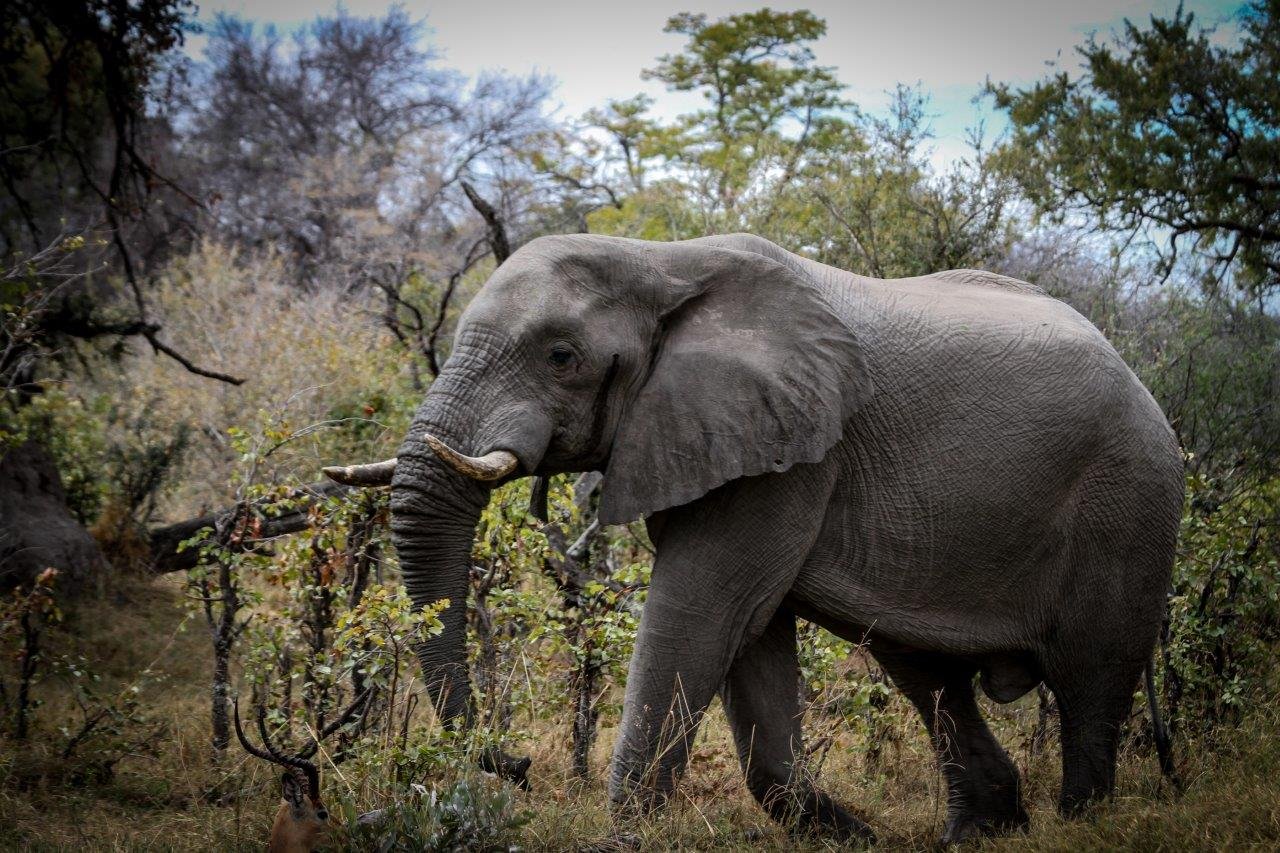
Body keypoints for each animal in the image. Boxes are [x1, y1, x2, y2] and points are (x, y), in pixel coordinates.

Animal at [327, 233, 1177, 845]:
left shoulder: (792, 453)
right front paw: (851, 836)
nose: (516, 762)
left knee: (1091, 678)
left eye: (560, 357)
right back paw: (980, 832)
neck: (660, 260)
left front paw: (627, 838)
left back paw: (1082, 823)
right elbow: (750, 633)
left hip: (1127, 503)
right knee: (926, 672)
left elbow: (702, 614)